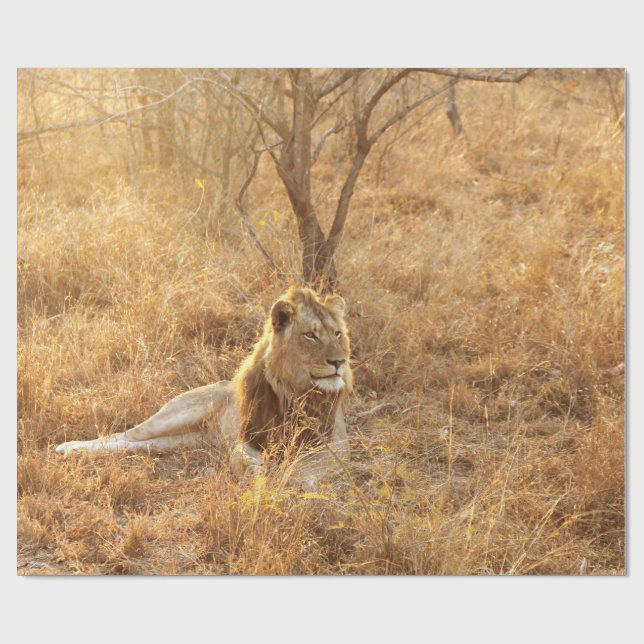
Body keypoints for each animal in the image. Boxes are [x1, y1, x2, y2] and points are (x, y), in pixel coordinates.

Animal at [55, 287, 353, 486]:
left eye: (338, 333)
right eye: (310, 335)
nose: (339, 362)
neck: (297, 391)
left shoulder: (335, 443)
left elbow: (308, 465)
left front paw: (293, 480)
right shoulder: (248, 438)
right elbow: (241, 460)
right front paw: (259, 478)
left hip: (183, 440)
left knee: (139, 444)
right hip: (176, 415)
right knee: (123, 435)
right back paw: (69, 448)